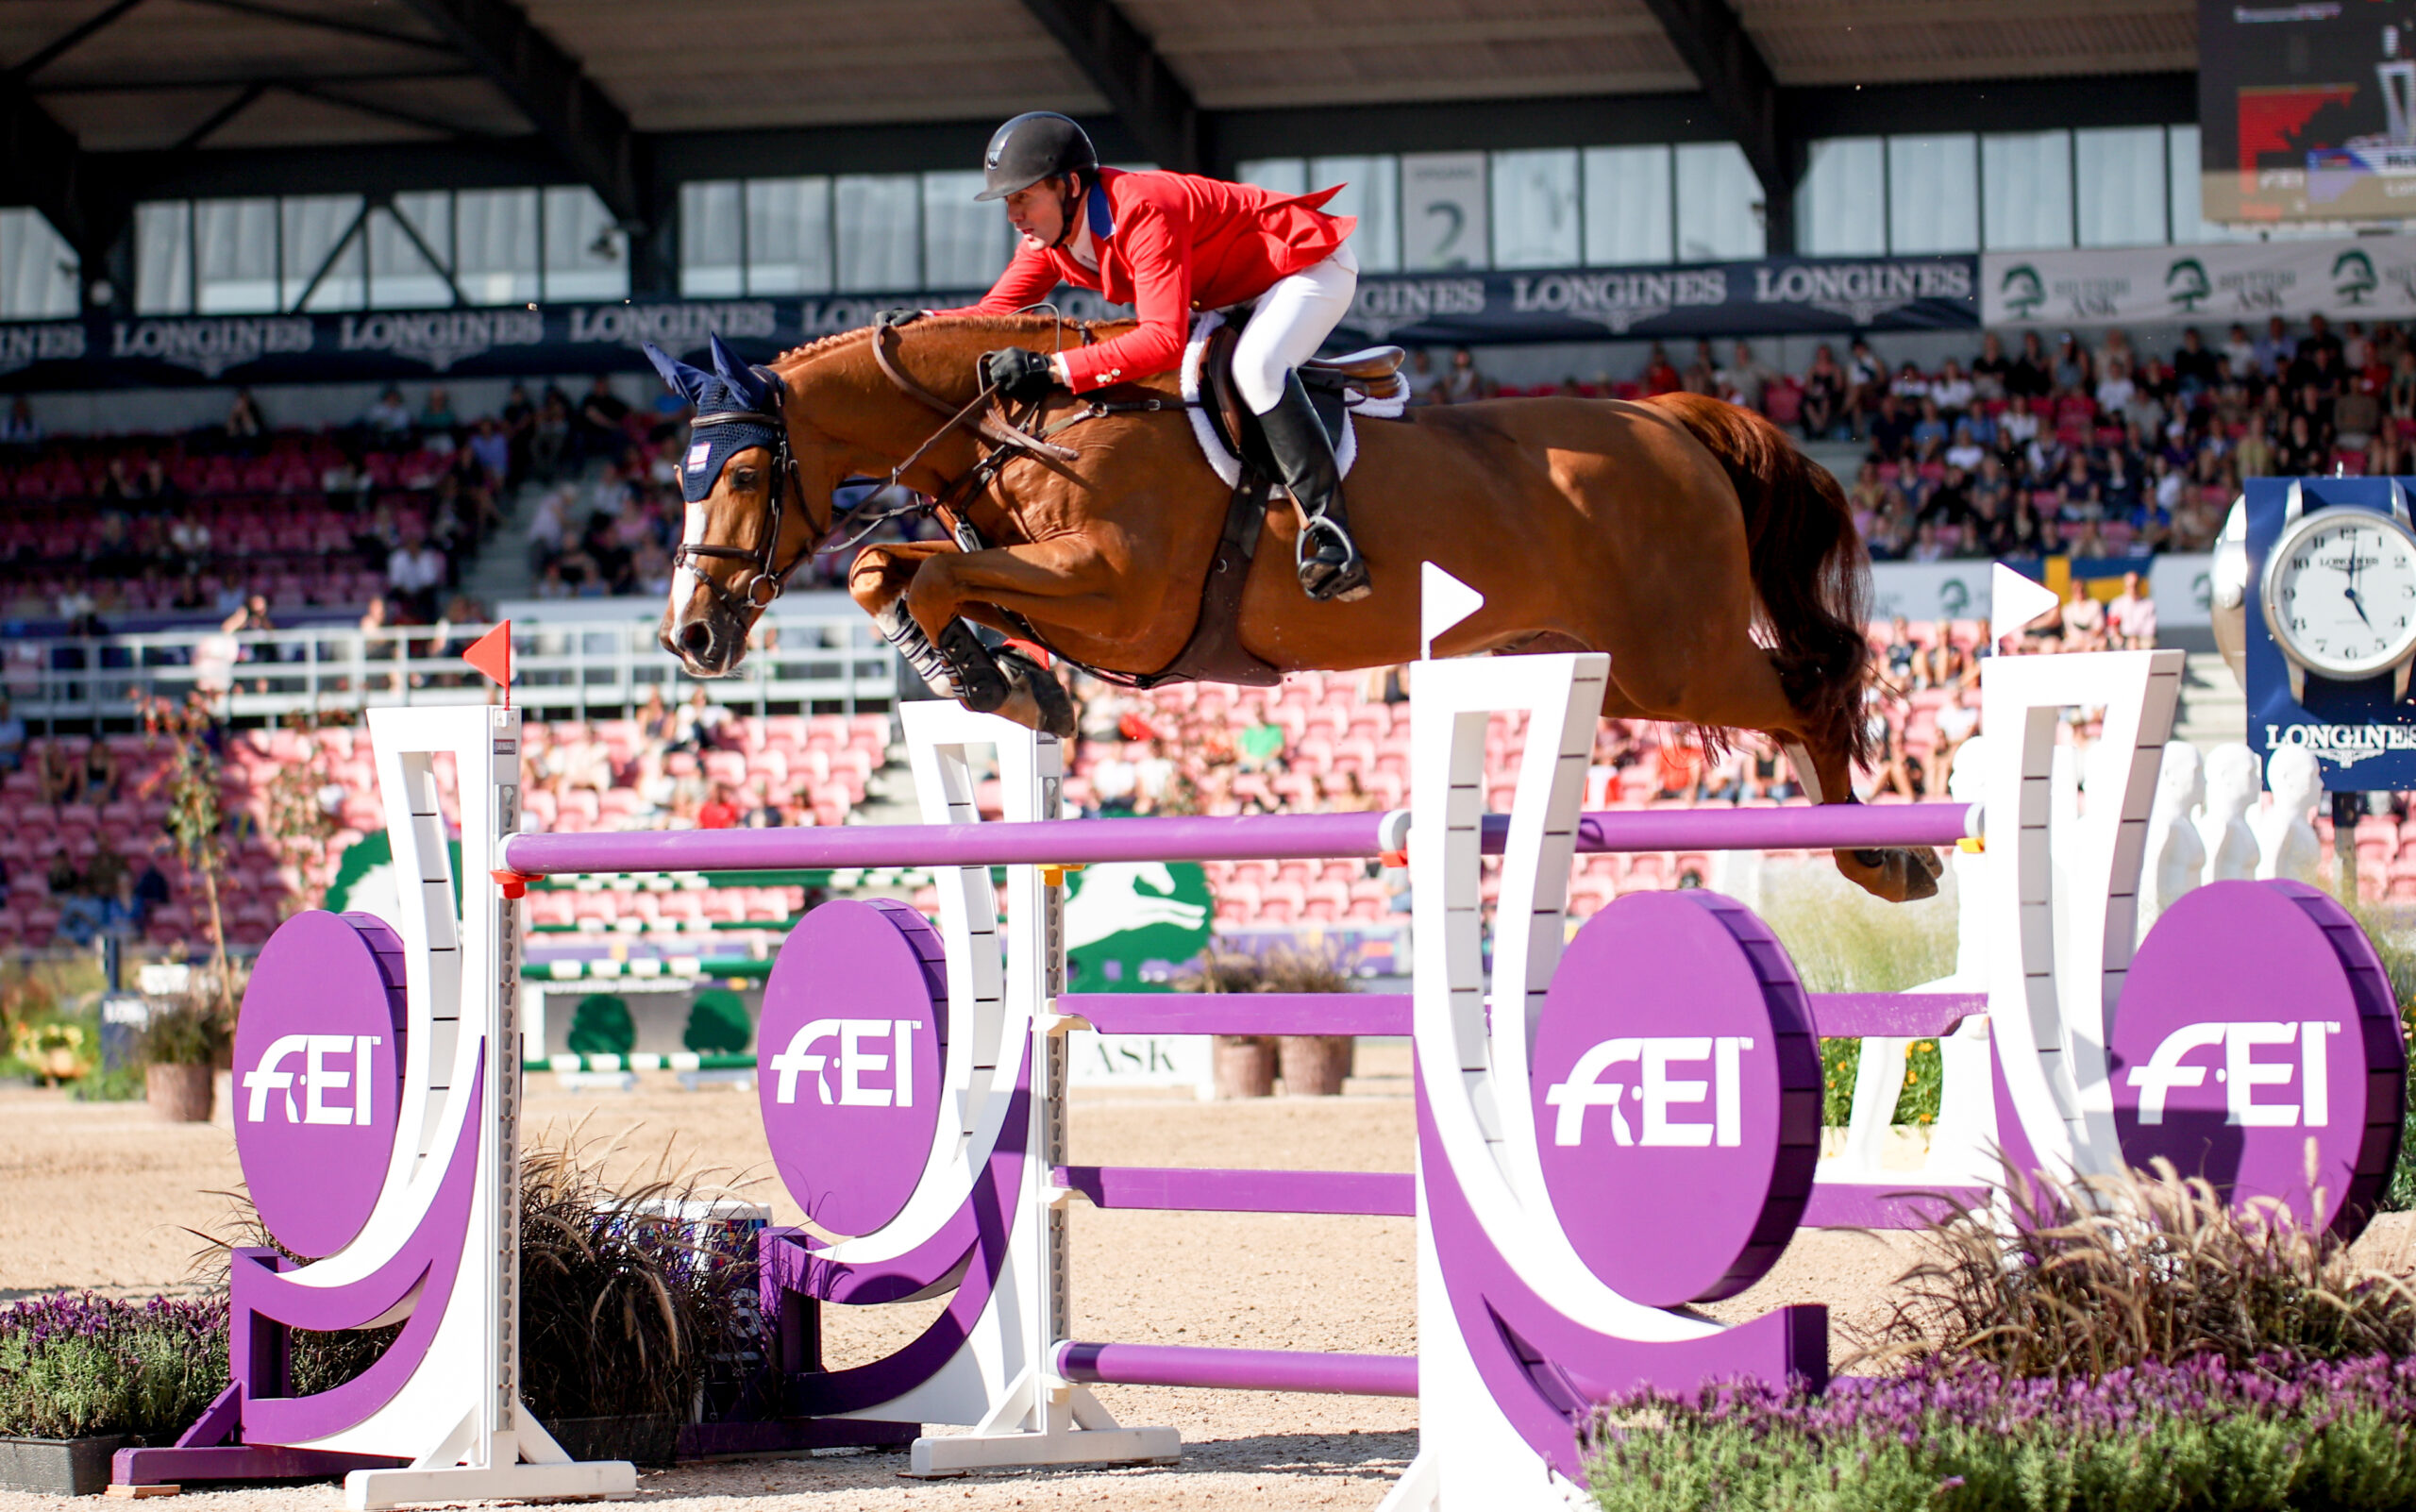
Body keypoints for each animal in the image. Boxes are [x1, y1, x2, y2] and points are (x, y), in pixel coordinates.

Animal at [652, 313, 1933, 893]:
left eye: (748, 475)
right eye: (680, 477)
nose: (691, 634)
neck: (1033, 419)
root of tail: (1671, 418)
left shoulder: (1120, 596)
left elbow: (916, 570)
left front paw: (985, 678)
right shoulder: (1082, 598)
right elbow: (908, 573)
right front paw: (1010, 686)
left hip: (1678, 655)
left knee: (1812, 688)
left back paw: (1882, 861)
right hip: (1606, 666)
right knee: (1797, 694)